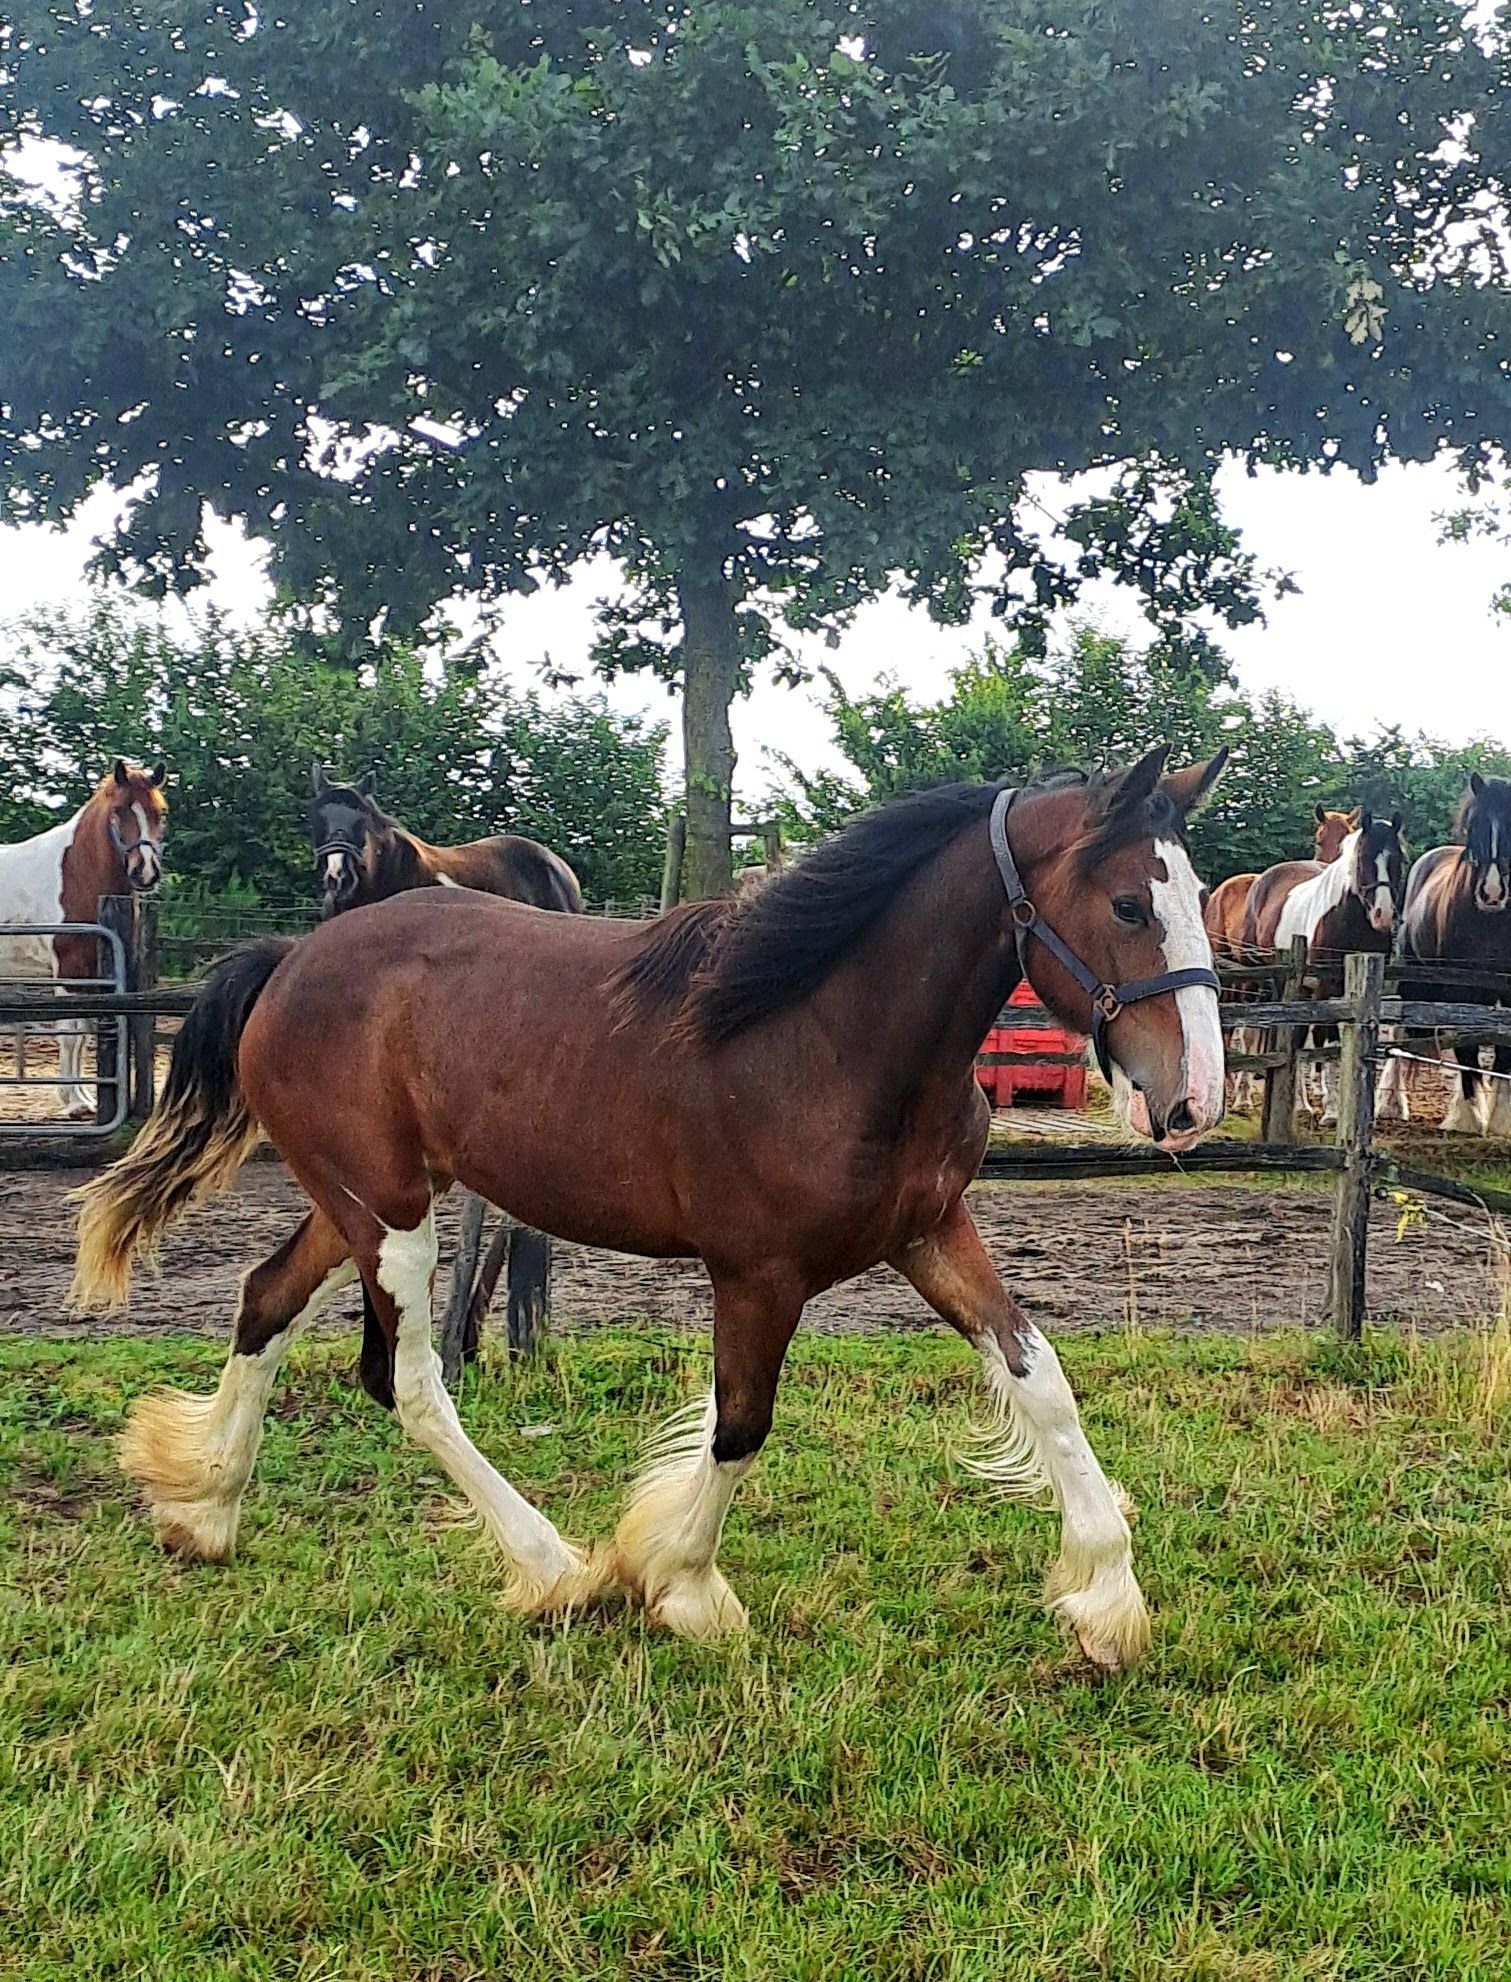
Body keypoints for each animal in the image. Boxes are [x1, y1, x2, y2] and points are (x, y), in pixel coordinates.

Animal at [0, 761, 167, 1117]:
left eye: (160, 812)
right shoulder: (69, 969)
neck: (77, 870)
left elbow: (85, 1033)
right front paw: (74, 1103)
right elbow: (70, 1035)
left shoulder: (93, 971)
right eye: (119, 810)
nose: (145, 873)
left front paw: (85, 1099)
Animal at [1245, 810, 1407, 1122]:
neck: (1347, 920)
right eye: (1363, 857)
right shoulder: (1327, 988)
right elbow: (1327, 1043)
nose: (1383, 915)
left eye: (1398, 859)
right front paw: (1331, 1110)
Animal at [1397, 773, 1511, 1136]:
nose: (1492, 894)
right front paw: (1470, 1118)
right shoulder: (1463, 989)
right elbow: (1466, 1047)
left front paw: (1501, 1119)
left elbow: (1503, 1049)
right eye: (1472, 825)